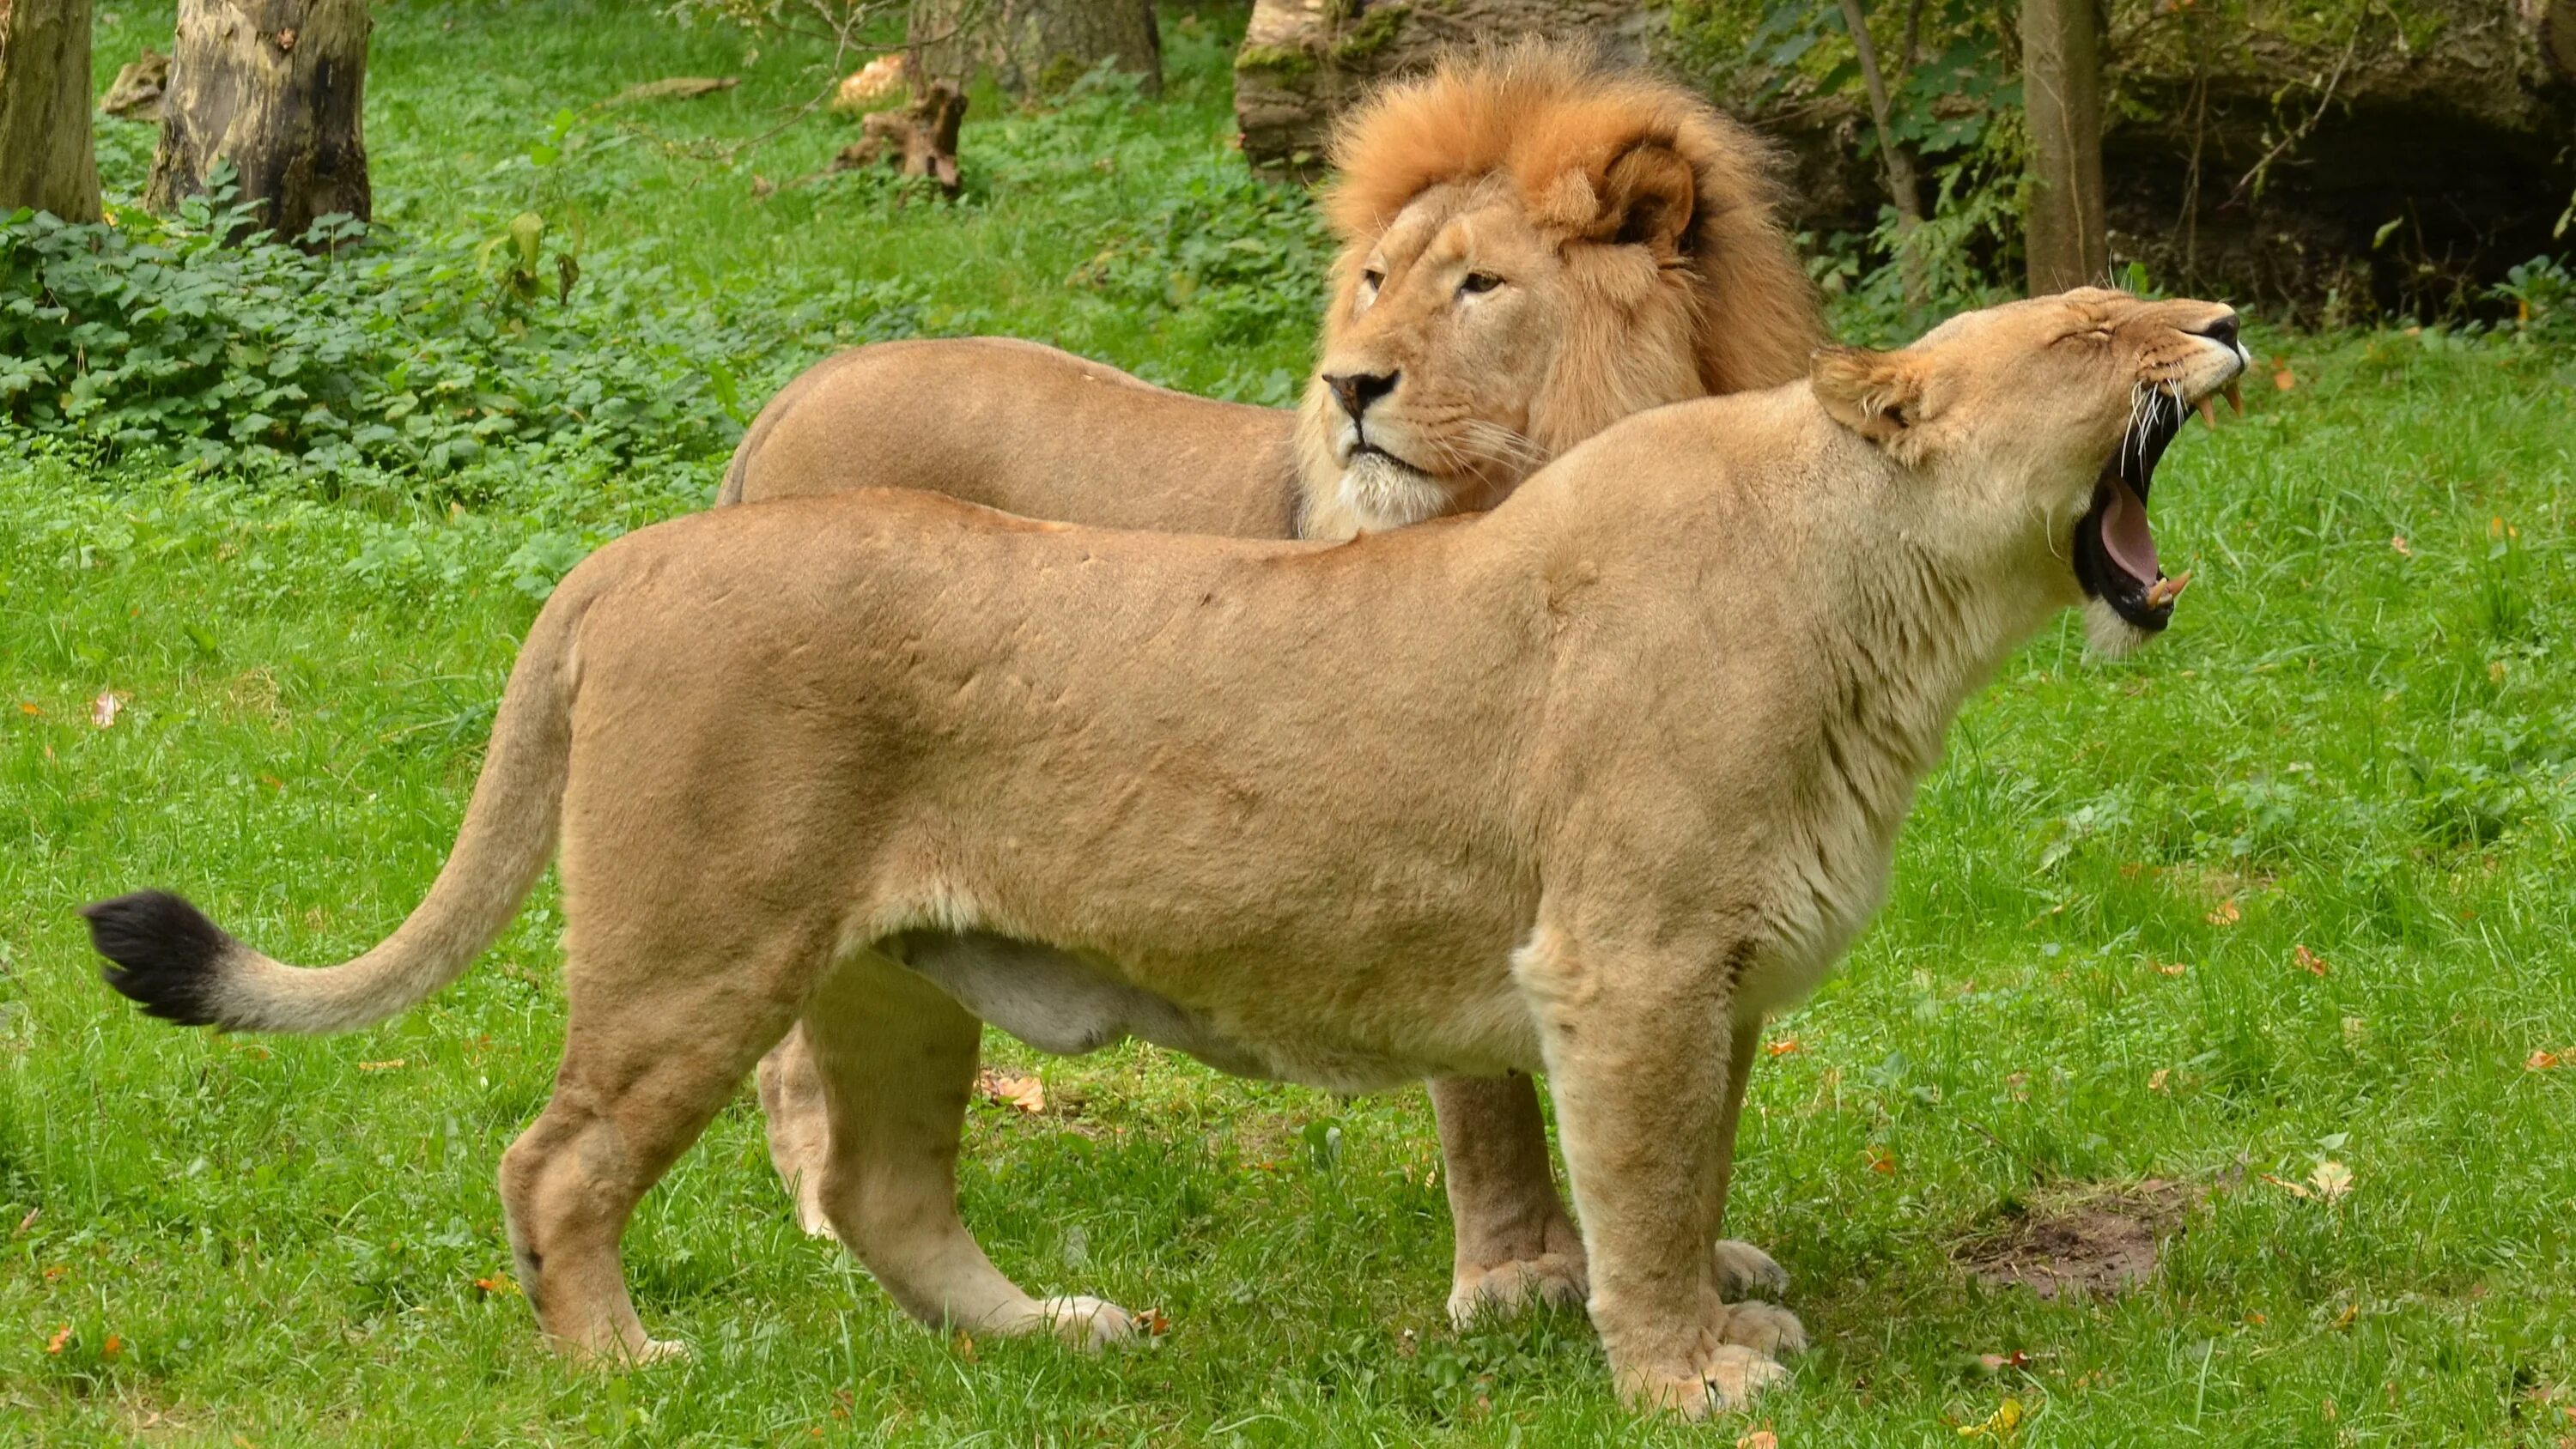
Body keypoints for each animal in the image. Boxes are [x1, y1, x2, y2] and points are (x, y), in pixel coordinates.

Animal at [90, 292, 2246, 1421]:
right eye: (2093, 326)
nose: (2226, 323)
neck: (1894, 617)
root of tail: (639, 551)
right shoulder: (1624, 962)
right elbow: (1633, 1179)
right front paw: (1683, 1376)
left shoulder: (1704, 978)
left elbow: (1685, 1162)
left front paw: (1716, 1306)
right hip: (702, 942)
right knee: (558, 1161)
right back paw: (630, 1366)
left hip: (887, 979)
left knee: (879, 1188)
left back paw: (1053, 1335)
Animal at [716, 36, 1824, 1328]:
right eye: (1376, 280)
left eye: (1480, 285)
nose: (1349, 385)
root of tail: (800, 389)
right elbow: (1488, 1096)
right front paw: (1518, 1277)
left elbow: (1698, 1112)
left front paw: (1700, 1273)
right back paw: (816, 1216)